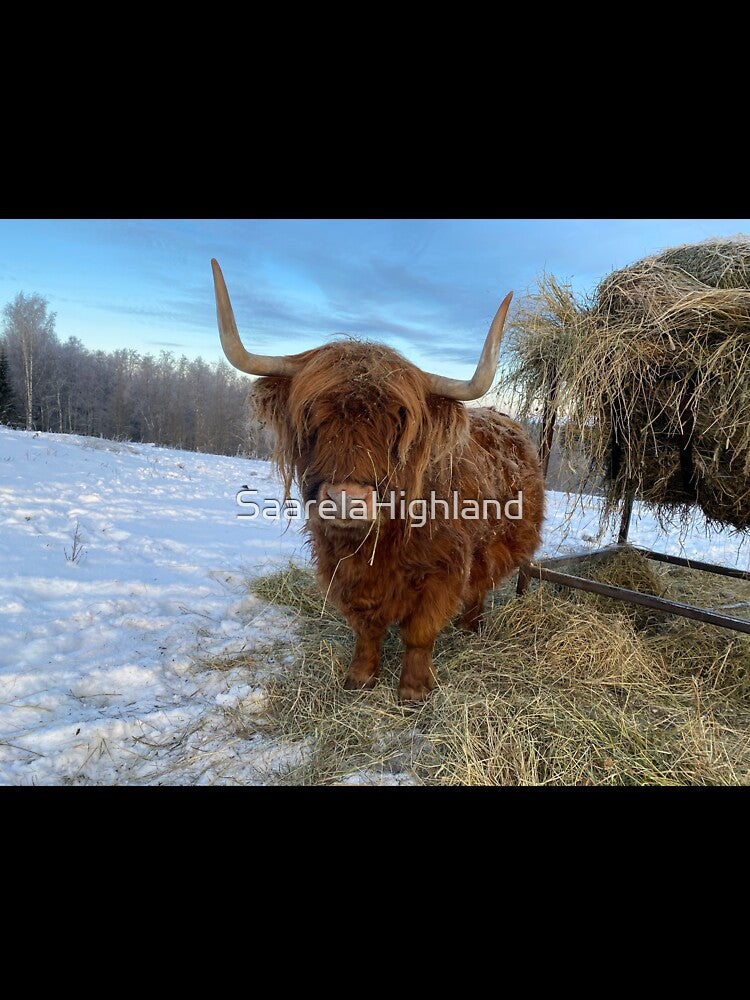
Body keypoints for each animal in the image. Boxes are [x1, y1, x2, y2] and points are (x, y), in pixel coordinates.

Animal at [212, 259, 544, 702]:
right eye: (312, 415)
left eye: (397, 423)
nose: (347, 499)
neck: (380, 541)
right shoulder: (342, 568)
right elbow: (367, 629)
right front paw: (360, 678)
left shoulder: (443, 571)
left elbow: (420, 632)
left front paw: (414, 691)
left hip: (496, 546)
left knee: (481, 585)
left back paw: (470, 627)